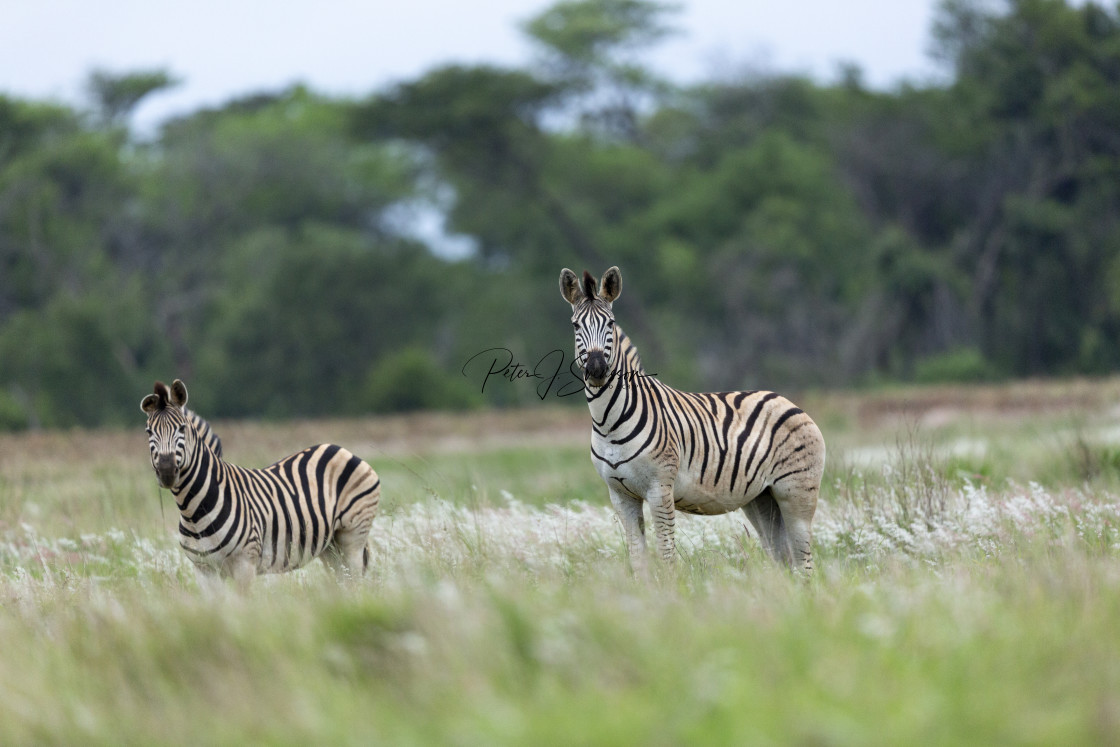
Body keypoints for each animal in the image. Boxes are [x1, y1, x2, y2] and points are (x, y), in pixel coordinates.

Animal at [142, 383, 380, 586]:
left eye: (182, 428)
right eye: (149, 432)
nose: (166, 470)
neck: (194, 510)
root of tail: (339, 449)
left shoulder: (244, 565)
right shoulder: (204, 570)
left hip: (352, 537)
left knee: (355, 582)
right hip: (329, 545)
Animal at [560, 265, 824, 577]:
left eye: (610, 323)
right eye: (576, 326)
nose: (597, 368)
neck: (608, 424)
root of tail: (787, 401)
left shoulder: (660, 488)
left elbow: (666, 555)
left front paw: (671, 590)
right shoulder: (620, 495)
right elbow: (638, 559)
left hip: (796, 493)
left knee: (804, 562)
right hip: (761, 497)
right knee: (783, 558)